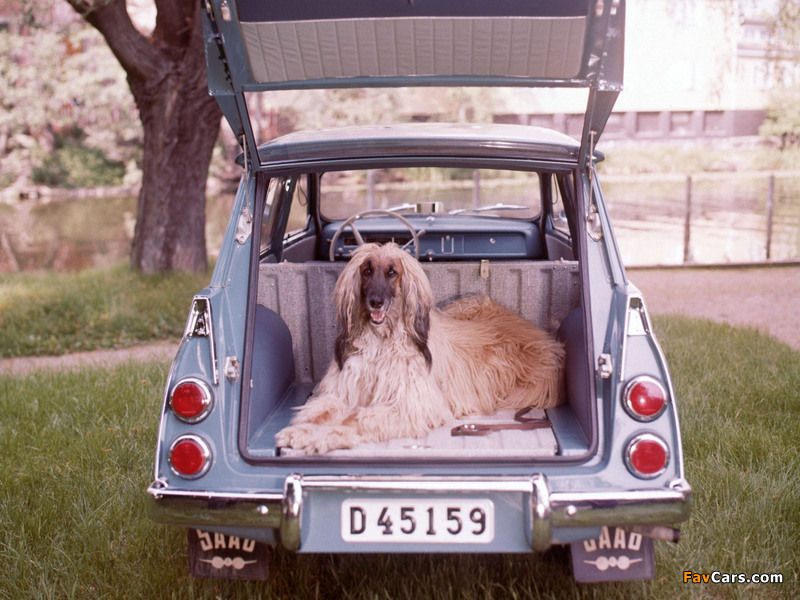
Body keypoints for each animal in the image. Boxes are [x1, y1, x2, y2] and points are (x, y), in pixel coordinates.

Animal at [275, 243, 565, 454]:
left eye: (392, 272)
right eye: (367, 271)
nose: (375, 302)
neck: (382, 339)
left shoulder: (412, 403)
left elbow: (355, 418)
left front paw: (328, 436)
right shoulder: (345, 389)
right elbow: (321, 410)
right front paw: (300, 431)